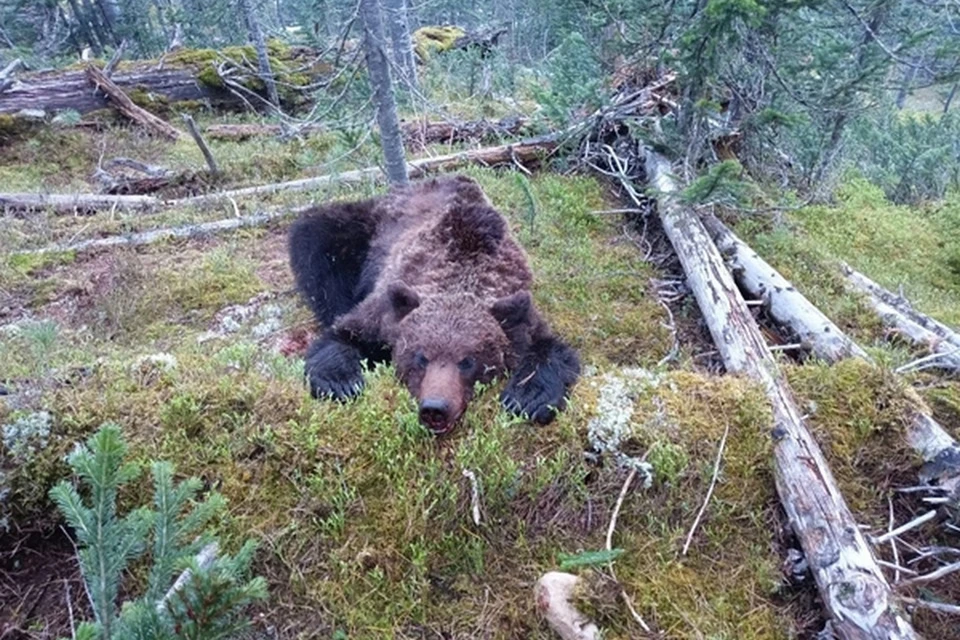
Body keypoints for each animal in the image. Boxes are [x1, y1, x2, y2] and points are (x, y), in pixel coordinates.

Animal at [286, 174, 576, 436]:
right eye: (421, 357)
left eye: (468, 361)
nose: (435, 408)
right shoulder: (386, 309)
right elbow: (343, 334)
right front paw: (341, 383)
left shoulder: (519, 310)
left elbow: (552, 350)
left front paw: (527, 398)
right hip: (364, 229)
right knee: (317, 238)